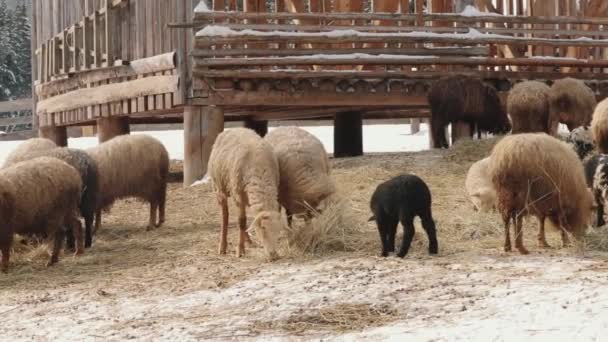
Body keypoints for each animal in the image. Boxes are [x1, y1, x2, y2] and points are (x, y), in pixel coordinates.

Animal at [208, 127, 284, 260]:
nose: (273, 255)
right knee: (225, 216)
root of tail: (232, 129)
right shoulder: (238, 196)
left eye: (278, 230)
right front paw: (240, 250)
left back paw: (248, 241)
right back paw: (223, 246)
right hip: (220, 187)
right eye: (263, 229)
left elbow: (244, 222)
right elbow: (241, 222)